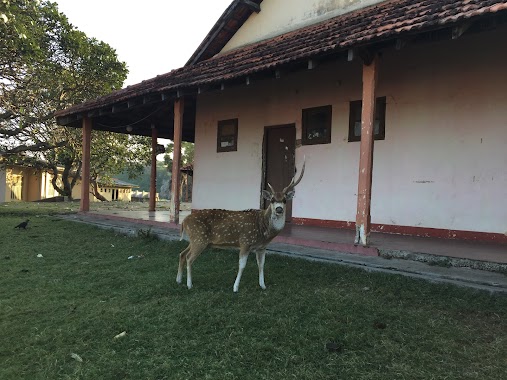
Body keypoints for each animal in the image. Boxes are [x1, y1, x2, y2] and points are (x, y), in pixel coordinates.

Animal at [179, 159, 306, 292]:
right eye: (272, 200)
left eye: (285, 200)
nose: (279, 209)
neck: (264, 230)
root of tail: (184, 221)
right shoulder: (245, 241)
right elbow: (242, 265)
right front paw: (235, 288)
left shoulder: (262, 247)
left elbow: (261, 265)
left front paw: (263, 285)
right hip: (199, 238)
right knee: (189, 258)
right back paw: (189, 285)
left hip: (196, 240)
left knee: (182, 253)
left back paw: (179, 280)